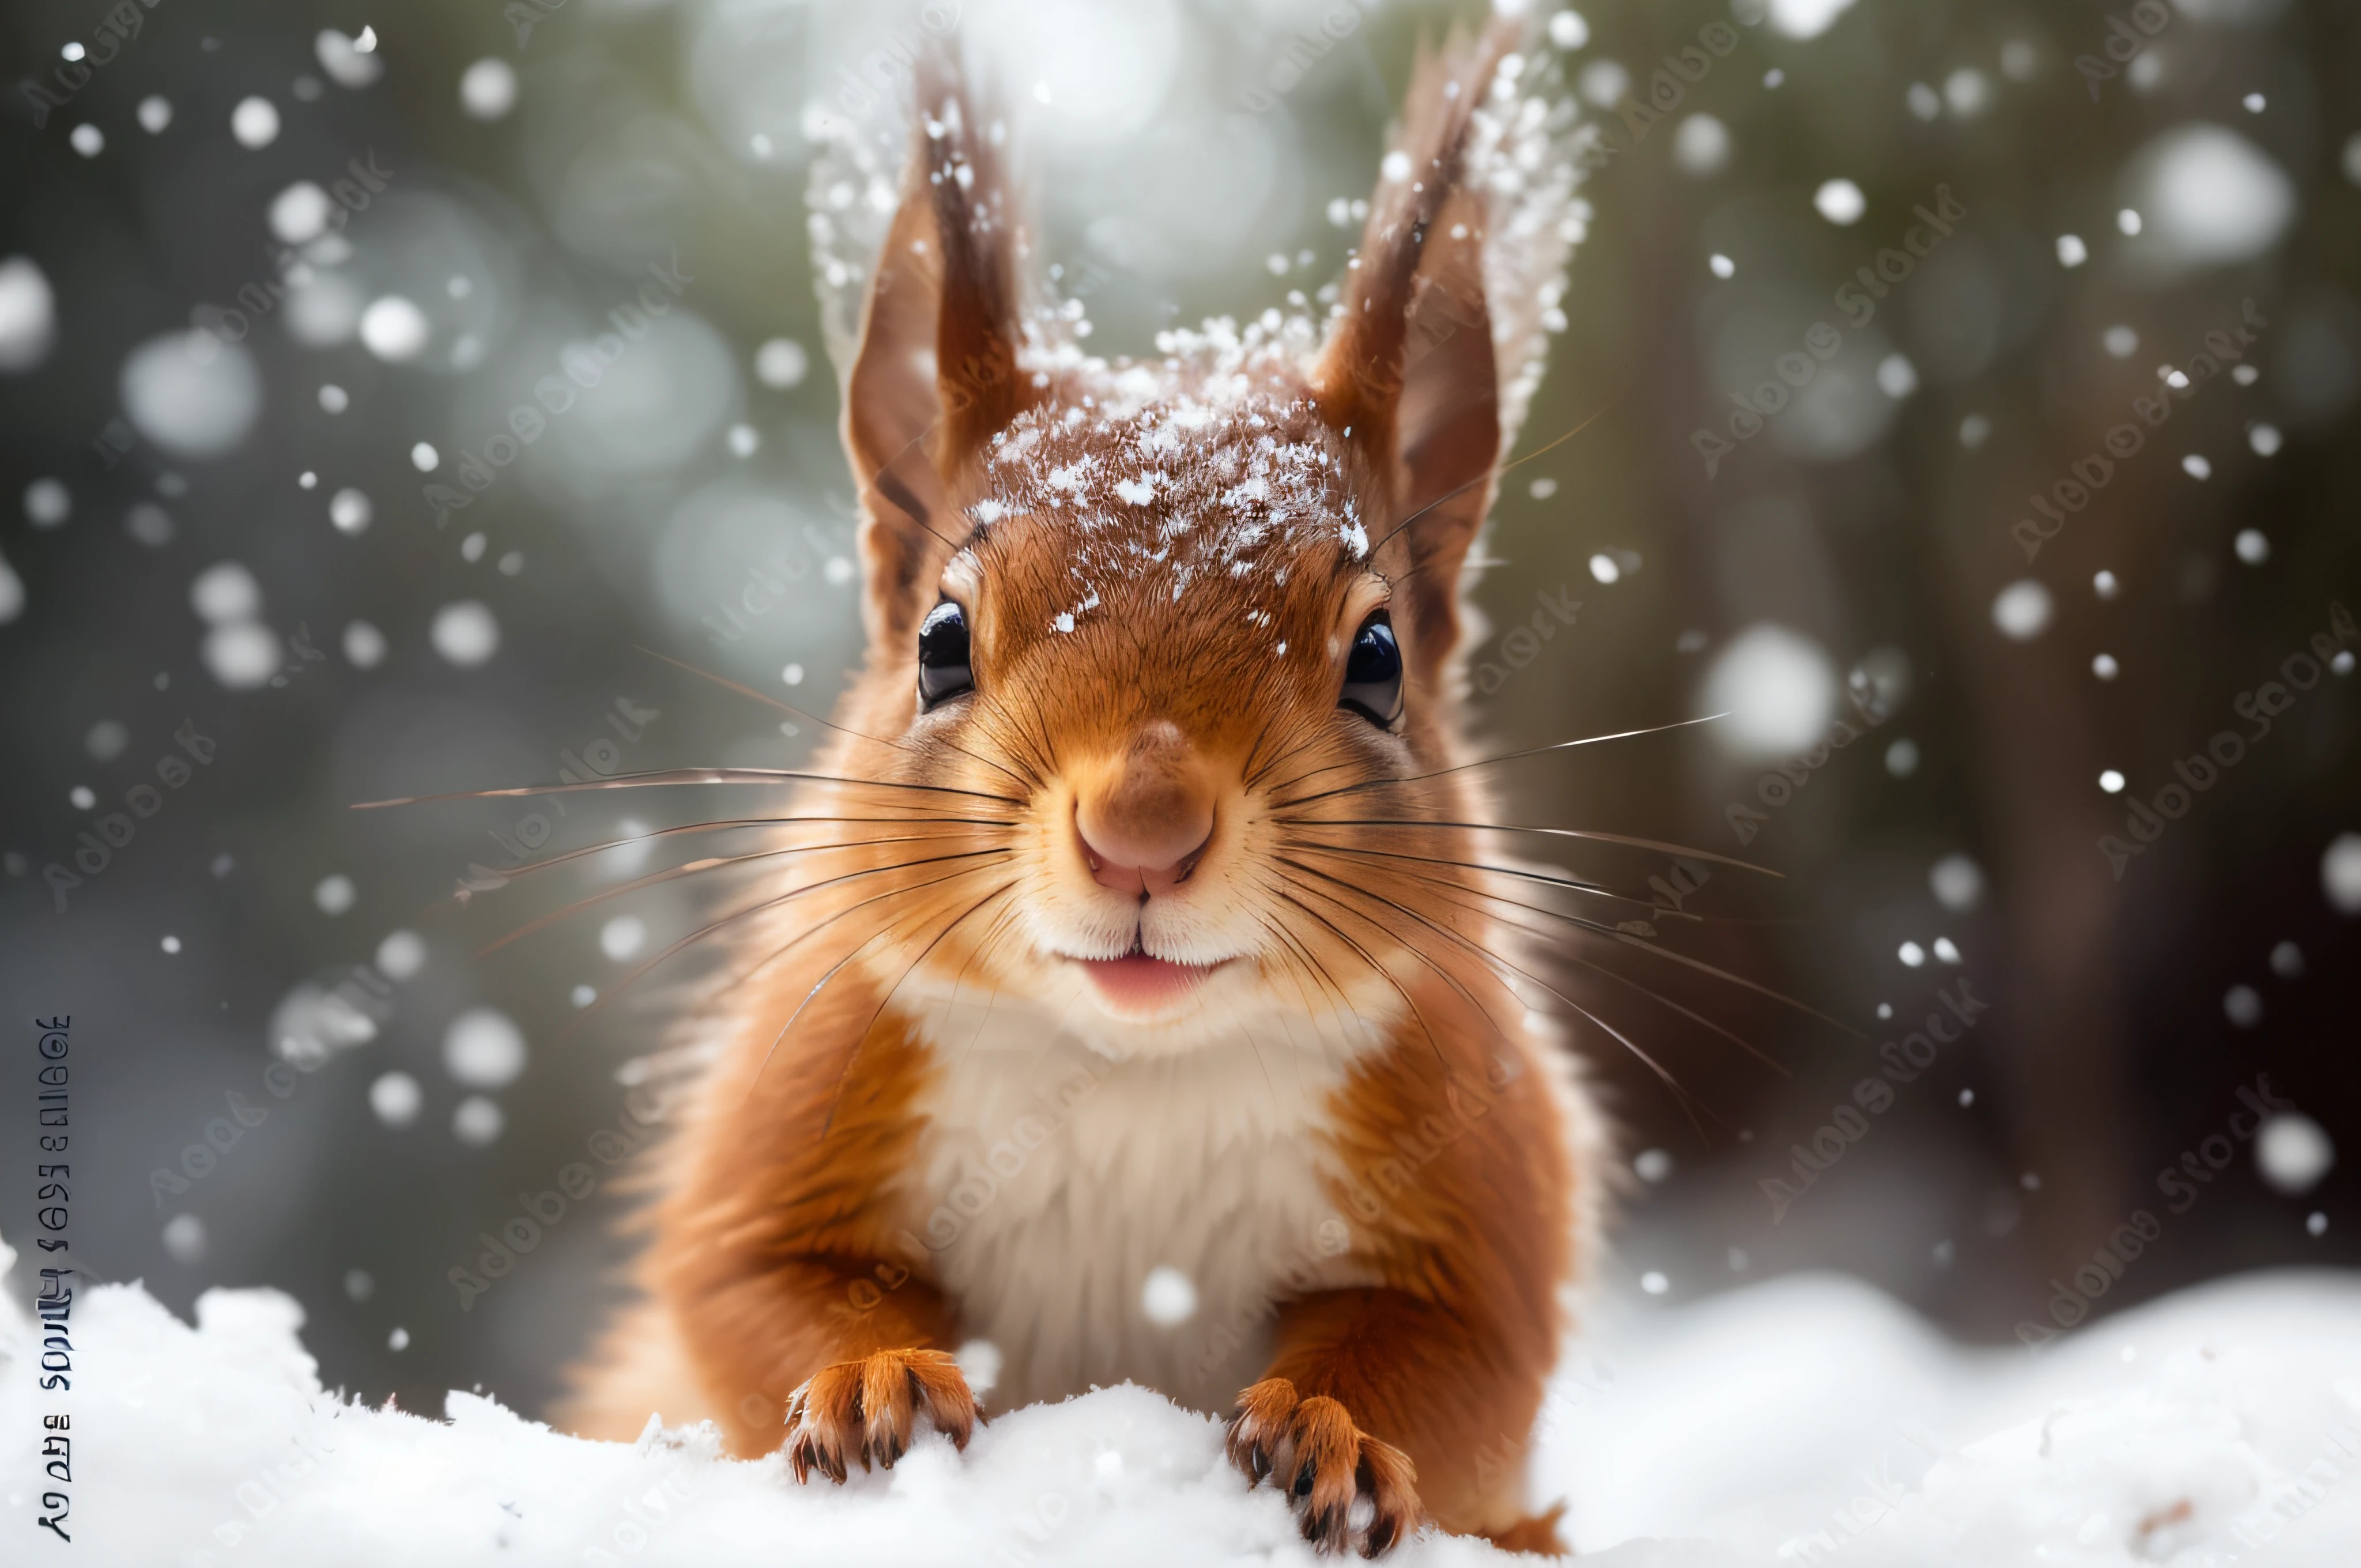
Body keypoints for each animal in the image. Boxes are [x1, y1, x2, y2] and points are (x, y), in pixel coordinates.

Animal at [561, 15, 1615, 1558]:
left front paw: (1330, 1429)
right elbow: (756, 1285)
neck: (1126, 1073)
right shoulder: (795, 1097)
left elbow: (1455, 1355)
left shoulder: (1479, 1171)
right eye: (938, 643)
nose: (1142, 835)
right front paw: (872, 1381)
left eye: (1377, 661)